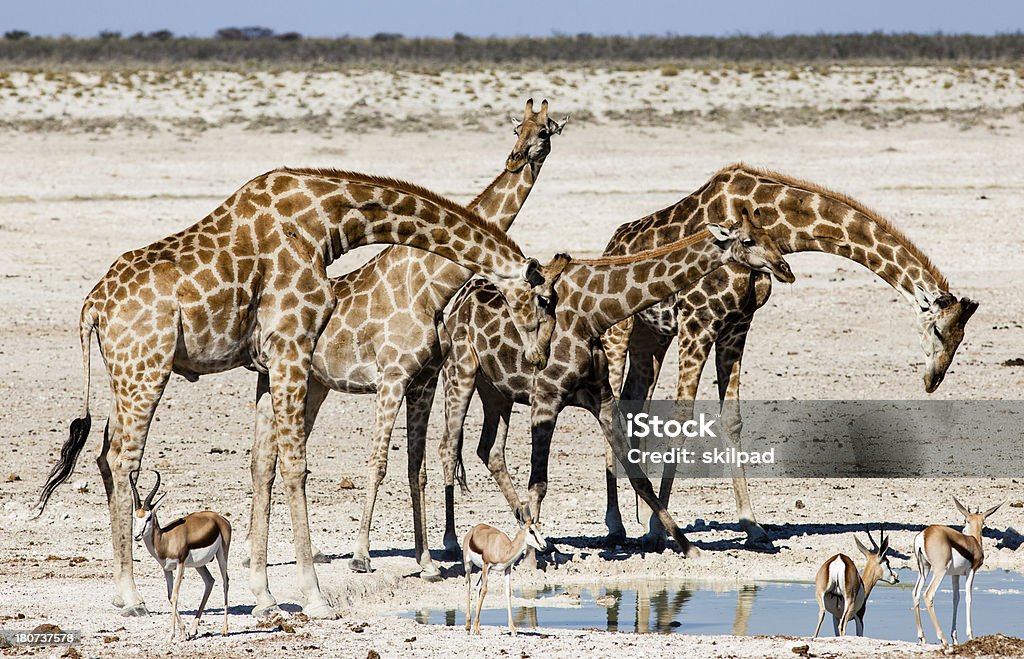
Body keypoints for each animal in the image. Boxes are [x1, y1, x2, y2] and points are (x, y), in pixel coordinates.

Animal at [36, 164, 561, 618]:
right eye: (544, 299)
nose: (538, 357)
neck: (327, 222)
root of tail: (92, 305)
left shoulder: (270, 363)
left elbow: (262, 464)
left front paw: (264, 595)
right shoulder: (293, 346)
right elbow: (295, 466)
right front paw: (314, 595)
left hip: (123, 375)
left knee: (104, 455)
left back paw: (120, 592)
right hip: (147, 368)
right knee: (124, 458)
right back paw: (131, 596)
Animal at [244, 99, 573, 601]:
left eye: (545, 132)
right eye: (518, 128)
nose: (516, 158)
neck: (433, 282)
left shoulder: (424, 381)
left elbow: (415, 467)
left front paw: (427, 563)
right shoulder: (392, 378)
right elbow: (378, 462)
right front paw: (361, 557)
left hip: (314, 386)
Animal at [436, 207, 794, 560]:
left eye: (772, 236)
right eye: (748, 241)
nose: (785, 269)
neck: (593, 314)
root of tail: (457, 302)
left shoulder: (601, 396)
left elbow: (638, 475)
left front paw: (686, 546)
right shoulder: (546, 397)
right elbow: (538, 483)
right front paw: (534, 560)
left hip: (498, 392)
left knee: (491, 451)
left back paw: (529, 532)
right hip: (460, 375)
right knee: (449, 449)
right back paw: (454, 542)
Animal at [598, 161, 974, 548]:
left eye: (961, 340)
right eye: (938, 331)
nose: (933, 380)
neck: (778, 227)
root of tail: (611, 244)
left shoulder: (737, 324)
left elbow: (731, 419)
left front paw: (752, 526)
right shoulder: (698, 320)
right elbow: (681, 418)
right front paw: (659, 530)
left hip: (652, 336)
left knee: (631, 404)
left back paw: (636, 513)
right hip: (618, 332)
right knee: (611, 409)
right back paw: (616, 525)